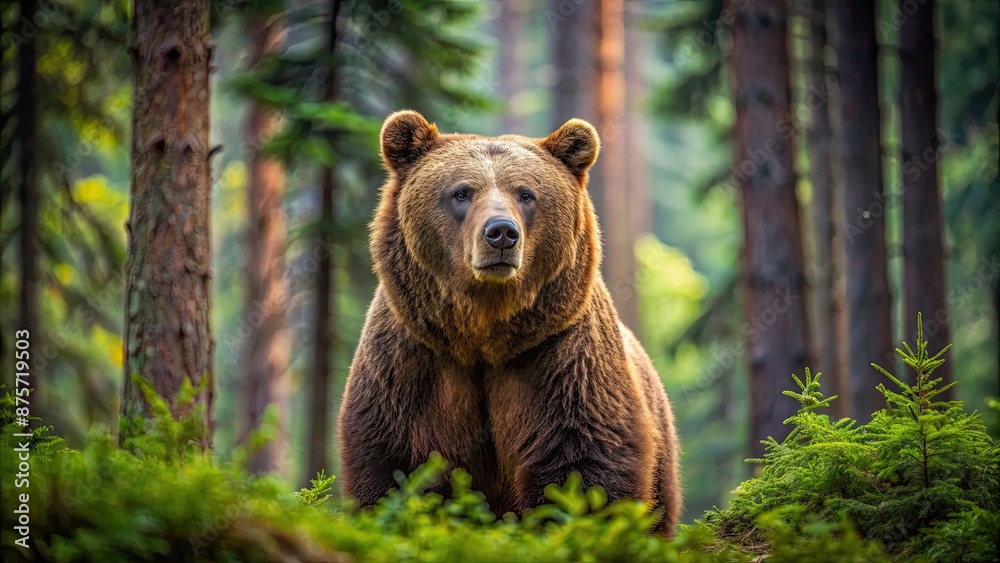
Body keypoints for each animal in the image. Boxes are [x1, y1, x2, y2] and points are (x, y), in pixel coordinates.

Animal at [338, 110, 681, 535]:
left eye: (526, 193)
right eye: (461, 192)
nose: (501, 233)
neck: (485, 334)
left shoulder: (560, 359)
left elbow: (582, 470)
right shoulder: (412, 363)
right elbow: (394, 468)